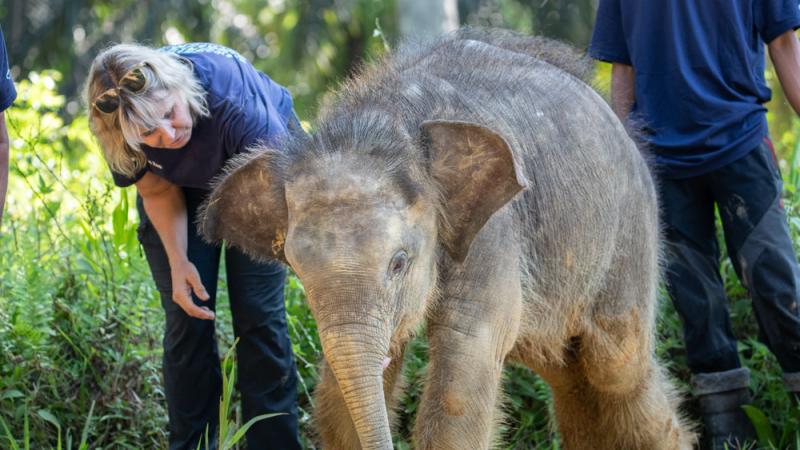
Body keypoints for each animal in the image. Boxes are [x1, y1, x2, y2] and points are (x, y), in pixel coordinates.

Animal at [200, 28, 692, 450]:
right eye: (299, 273)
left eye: (399, 262)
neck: (384, 118)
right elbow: (340, 398)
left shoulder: (494, 230)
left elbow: (463, 368)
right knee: (566, 370)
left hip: (631, 232)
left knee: (616, 366)